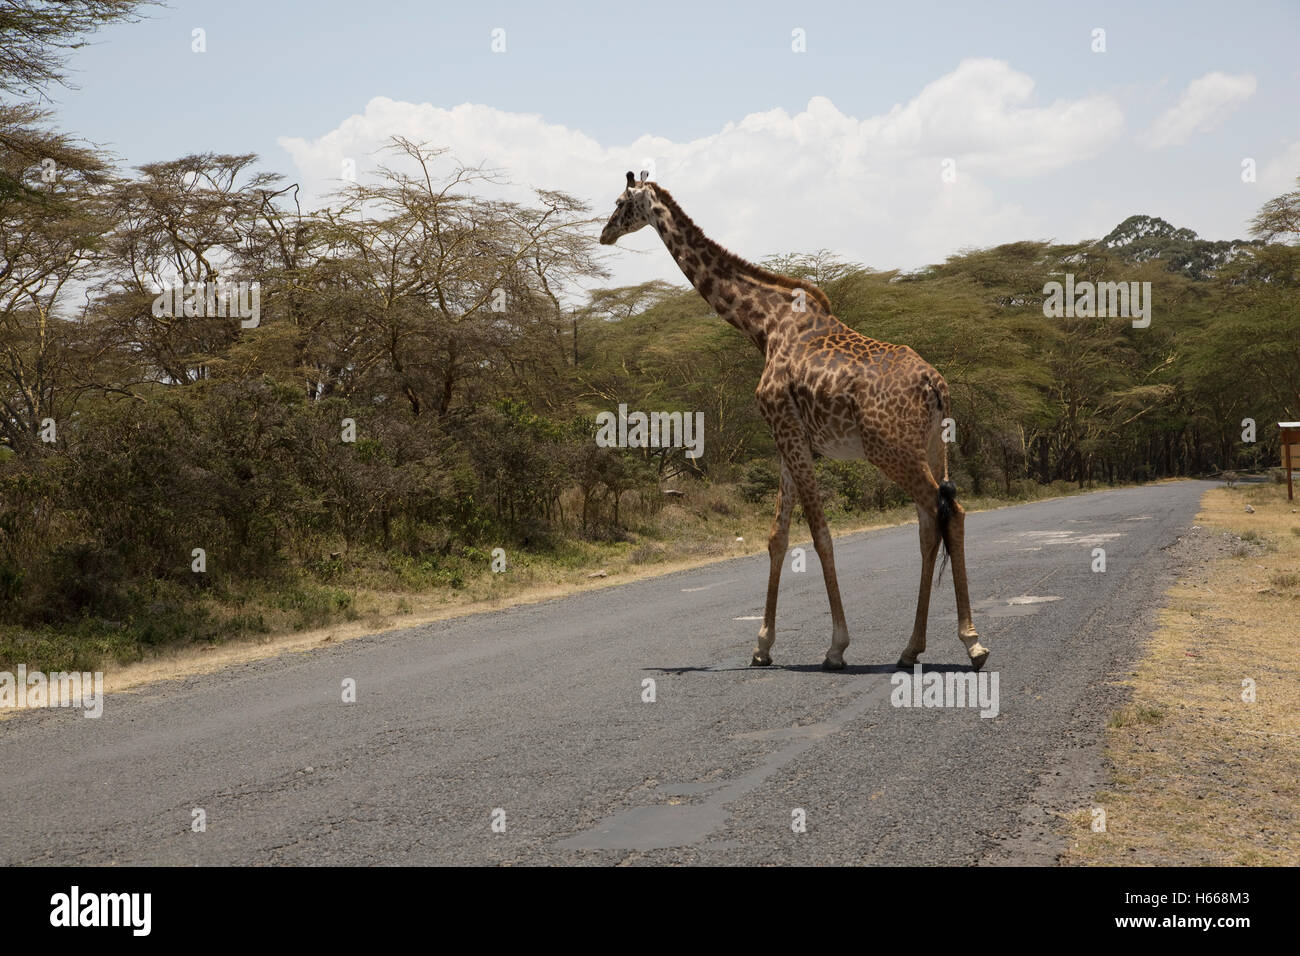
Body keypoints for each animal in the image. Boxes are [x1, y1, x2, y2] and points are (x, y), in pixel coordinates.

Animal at [598, 167, 982, 671]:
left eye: (621, 202)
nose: (603, 234)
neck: (761, 324)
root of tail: (936, 385)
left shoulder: (787, 429)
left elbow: (819, 533)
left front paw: (836, 645)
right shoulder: (788, 437)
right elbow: (777, 536)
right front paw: (762, 645)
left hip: (891, 450)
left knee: (944, 511)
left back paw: (969, 642)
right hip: (933, 445)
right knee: (933, 521)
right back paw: (914, 646)